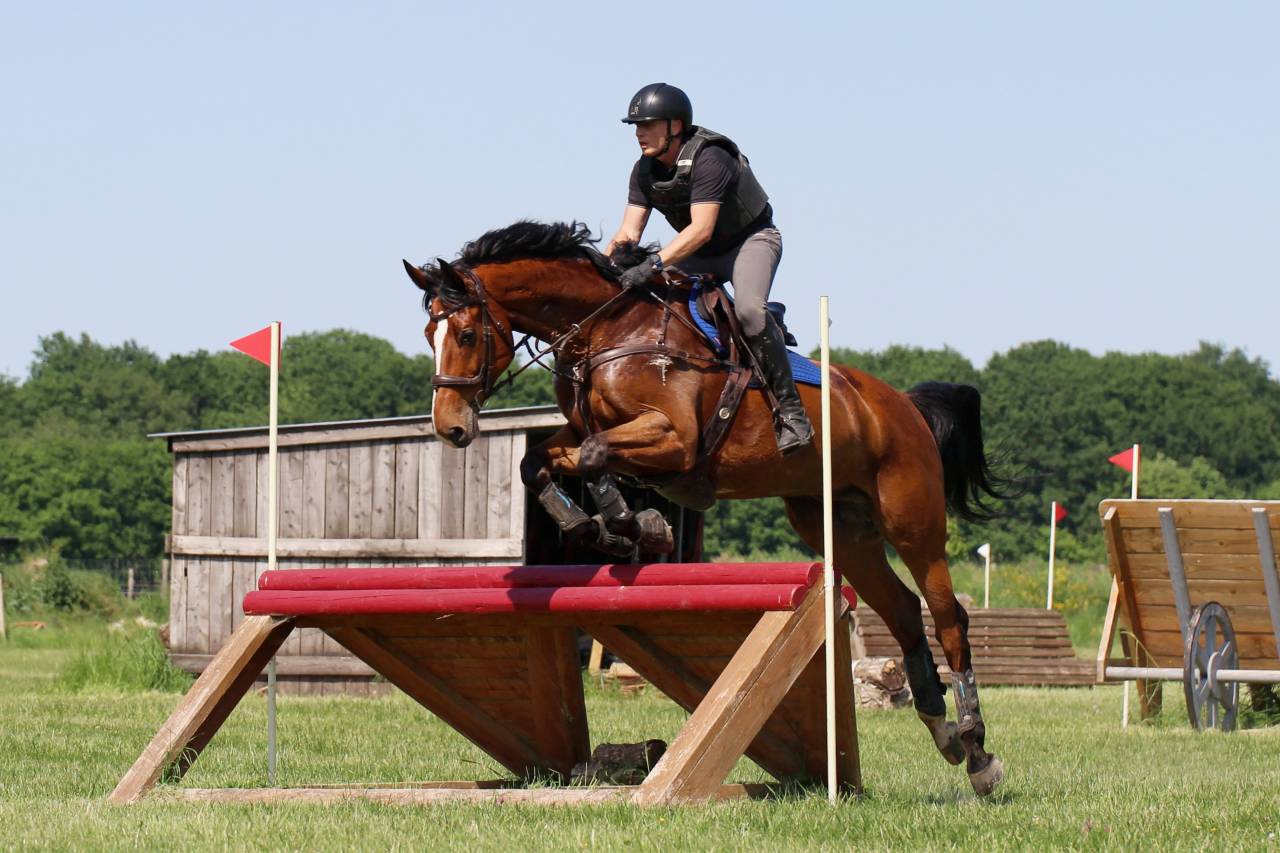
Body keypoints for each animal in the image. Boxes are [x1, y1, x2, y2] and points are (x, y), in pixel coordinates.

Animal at [404, 220, 1011, 796]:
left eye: (465, 333)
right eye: (429, 334)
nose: (450, 428)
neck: (610, 329)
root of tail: (901, 405)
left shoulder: (673, 439)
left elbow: (597, 455)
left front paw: (632, 525)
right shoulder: (580, 432)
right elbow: (540, 463)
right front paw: (596, 527)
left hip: (912, 520)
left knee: (947, 617)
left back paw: (979, 752)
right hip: (836, 526)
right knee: (904, 612)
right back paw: (943, 731)